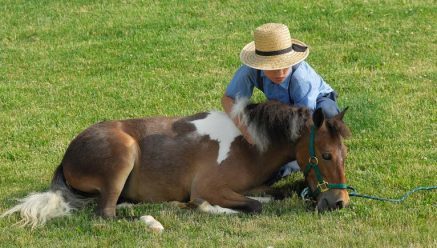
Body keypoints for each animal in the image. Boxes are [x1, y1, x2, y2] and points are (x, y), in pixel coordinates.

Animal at [0, 98, 350, 227]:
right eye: (326, 155)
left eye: (344, 155)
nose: (339, 202)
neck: (249, 145)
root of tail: (68, 155)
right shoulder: (209, 188)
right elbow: (250, 206)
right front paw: (203, 208)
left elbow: (272, 195)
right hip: (123, 155)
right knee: (106, 214)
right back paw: (151, 219)